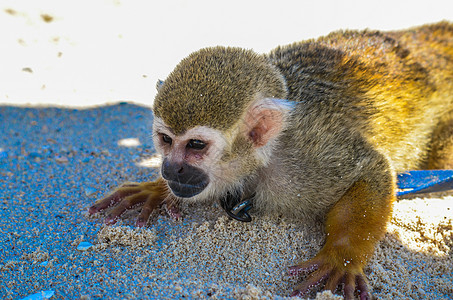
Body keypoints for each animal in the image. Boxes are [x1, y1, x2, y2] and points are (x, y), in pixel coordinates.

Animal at [88, 22, 452, 298]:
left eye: (195, 145)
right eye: (165, 140)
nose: (170, 168)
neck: (264, 158)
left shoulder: (308, 158)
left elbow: (371, 168)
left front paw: (341, 257)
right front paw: (155, 189)